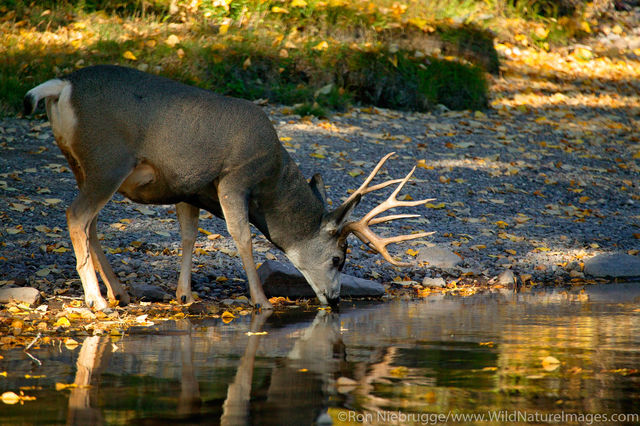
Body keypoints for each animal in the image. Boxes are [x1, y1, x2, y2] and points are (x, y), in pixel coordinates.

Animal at [23, 65, 432, 311]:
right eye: (338, 258)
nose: (333, 300)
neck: (272, 180)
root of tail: (62, 87)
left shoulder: (186, 188)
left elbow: (189, 235)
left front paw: (185, 294)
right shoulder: (235, 177)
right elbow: (242, 235)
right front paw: (261, 300)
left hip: (82, 164)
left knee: (90, 224)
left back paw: (119, 292)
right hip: (108, 160)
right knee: (77, 216)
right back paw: (97, 300)